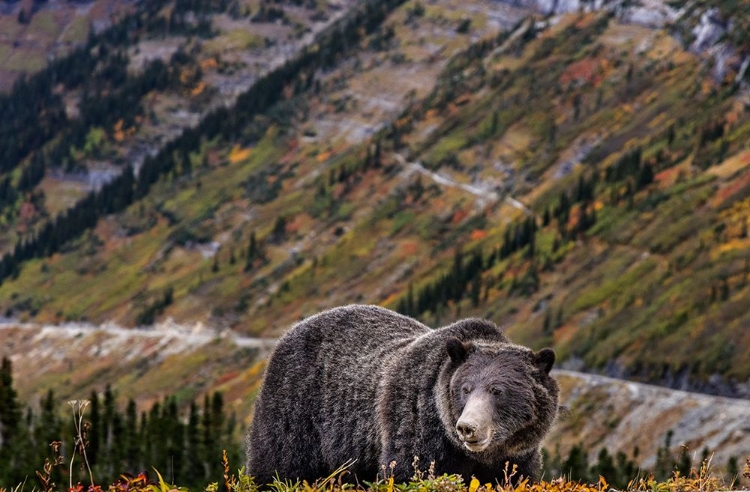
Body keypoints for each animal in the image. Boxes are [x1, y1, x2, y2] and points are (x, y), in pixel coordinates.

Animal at [247, 306, 560, 486]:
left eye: (497, 391)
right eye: (465, 389)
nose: (468, 427)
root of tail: (290, 331)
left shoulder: (516, 456)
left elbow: (515, 476)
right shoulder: (417, 424)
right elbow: (410, 471)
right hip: (295, 410)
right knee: (278, 464)